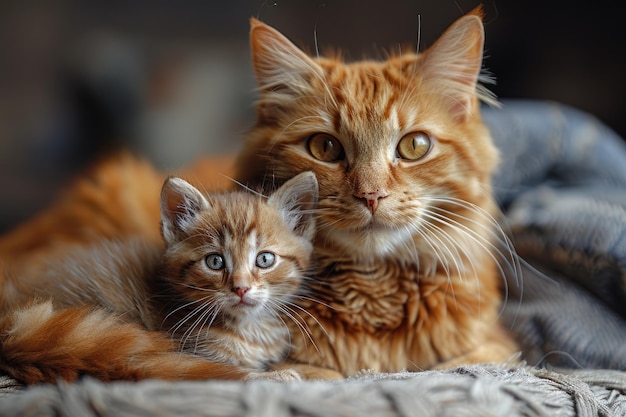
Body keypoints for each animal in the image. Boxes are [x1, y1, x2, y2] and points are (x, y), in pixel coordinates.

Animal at [0, 171, 316, 382]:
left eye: (264, 259)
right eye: (215, 261)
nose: (241, 288)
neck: (249, 326)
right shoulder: (192, 355)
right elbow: (231, 371)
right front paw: (275, 376)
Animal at [234, 6, 516, 376]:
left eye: (415, 145)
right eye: (324, 147)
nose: (371, 195)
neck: (373, 290)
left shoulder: (497, 346)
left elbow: (461, 363)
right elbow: (302, 372)